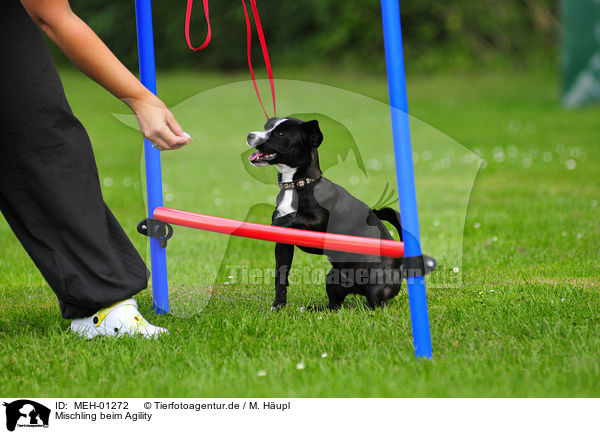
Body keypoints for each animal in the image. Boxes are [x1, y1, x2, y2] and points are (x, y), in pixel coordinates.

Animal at [246, 117, 434, 310]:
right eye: (268, 127)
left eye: (281, 133)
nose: (250, 135)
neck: (300, 186)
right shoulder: (284, 246)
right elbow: (281, 276)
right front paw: (278, 305)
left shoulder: (318, 227)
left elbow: (292, 217)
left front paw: (278, 221)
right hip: (333, 278)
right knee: (334, 306)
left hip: (377, 285)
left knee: (377, 304)